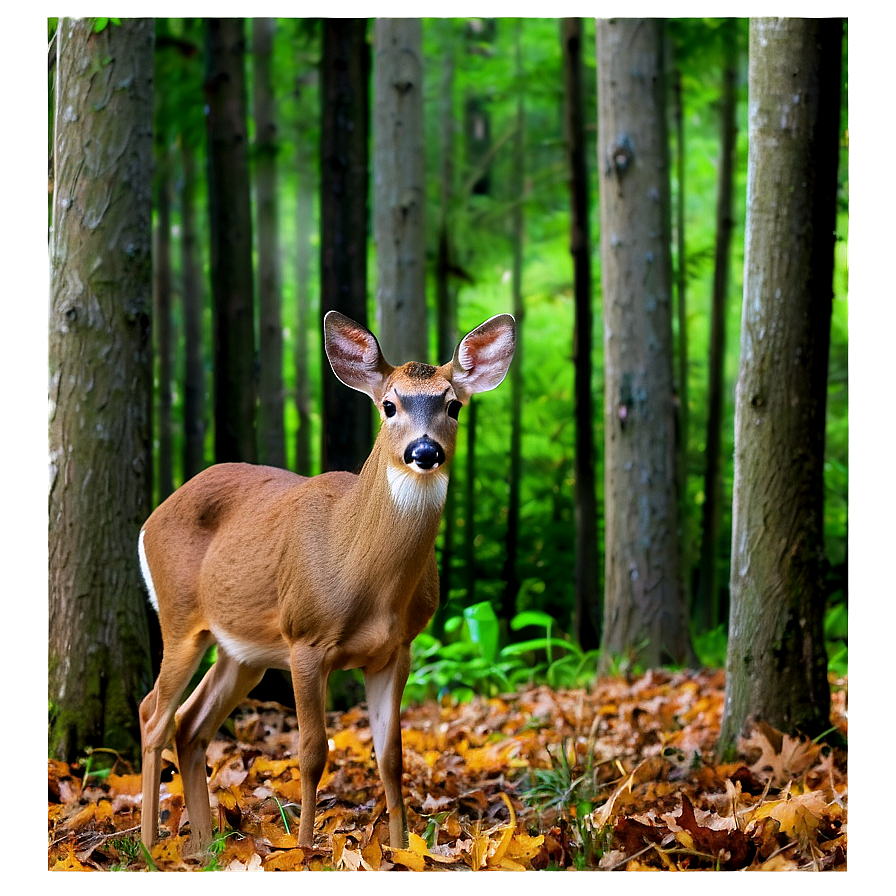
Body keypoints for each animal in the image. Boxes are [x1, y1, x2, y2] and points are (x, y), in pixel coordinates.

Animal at [136, 308, 516, 856]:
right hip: (181, 617)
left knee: (189, 724)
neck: (366, 579)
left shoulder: (396, 649)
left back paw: (205, 847)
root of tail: (150, 520)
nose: (425, 451)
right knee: (153, 714)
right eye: (389, 405)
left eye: (453, 406)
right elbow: (313, 751)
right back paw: (148, 845)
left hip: (243, 652)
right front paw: (302, 849)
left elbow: (391, 757)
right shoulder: (305, 638)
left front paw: (401, 849)